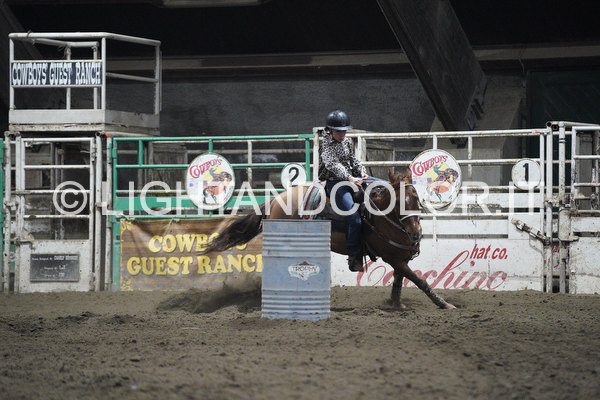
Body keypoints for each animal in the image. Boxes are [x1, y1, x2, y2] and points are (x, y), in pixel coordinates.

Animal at [203, 168, 456, 310]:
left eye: (417, 199)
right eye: (399, 201)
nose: (415, 233)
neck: (380, 216)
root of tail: (276, 200)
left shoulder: (399, 257)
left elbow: (399, 280)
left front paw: (396, 304)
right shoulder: (392, 257)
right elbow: (419, 280)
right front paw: (445, 304)